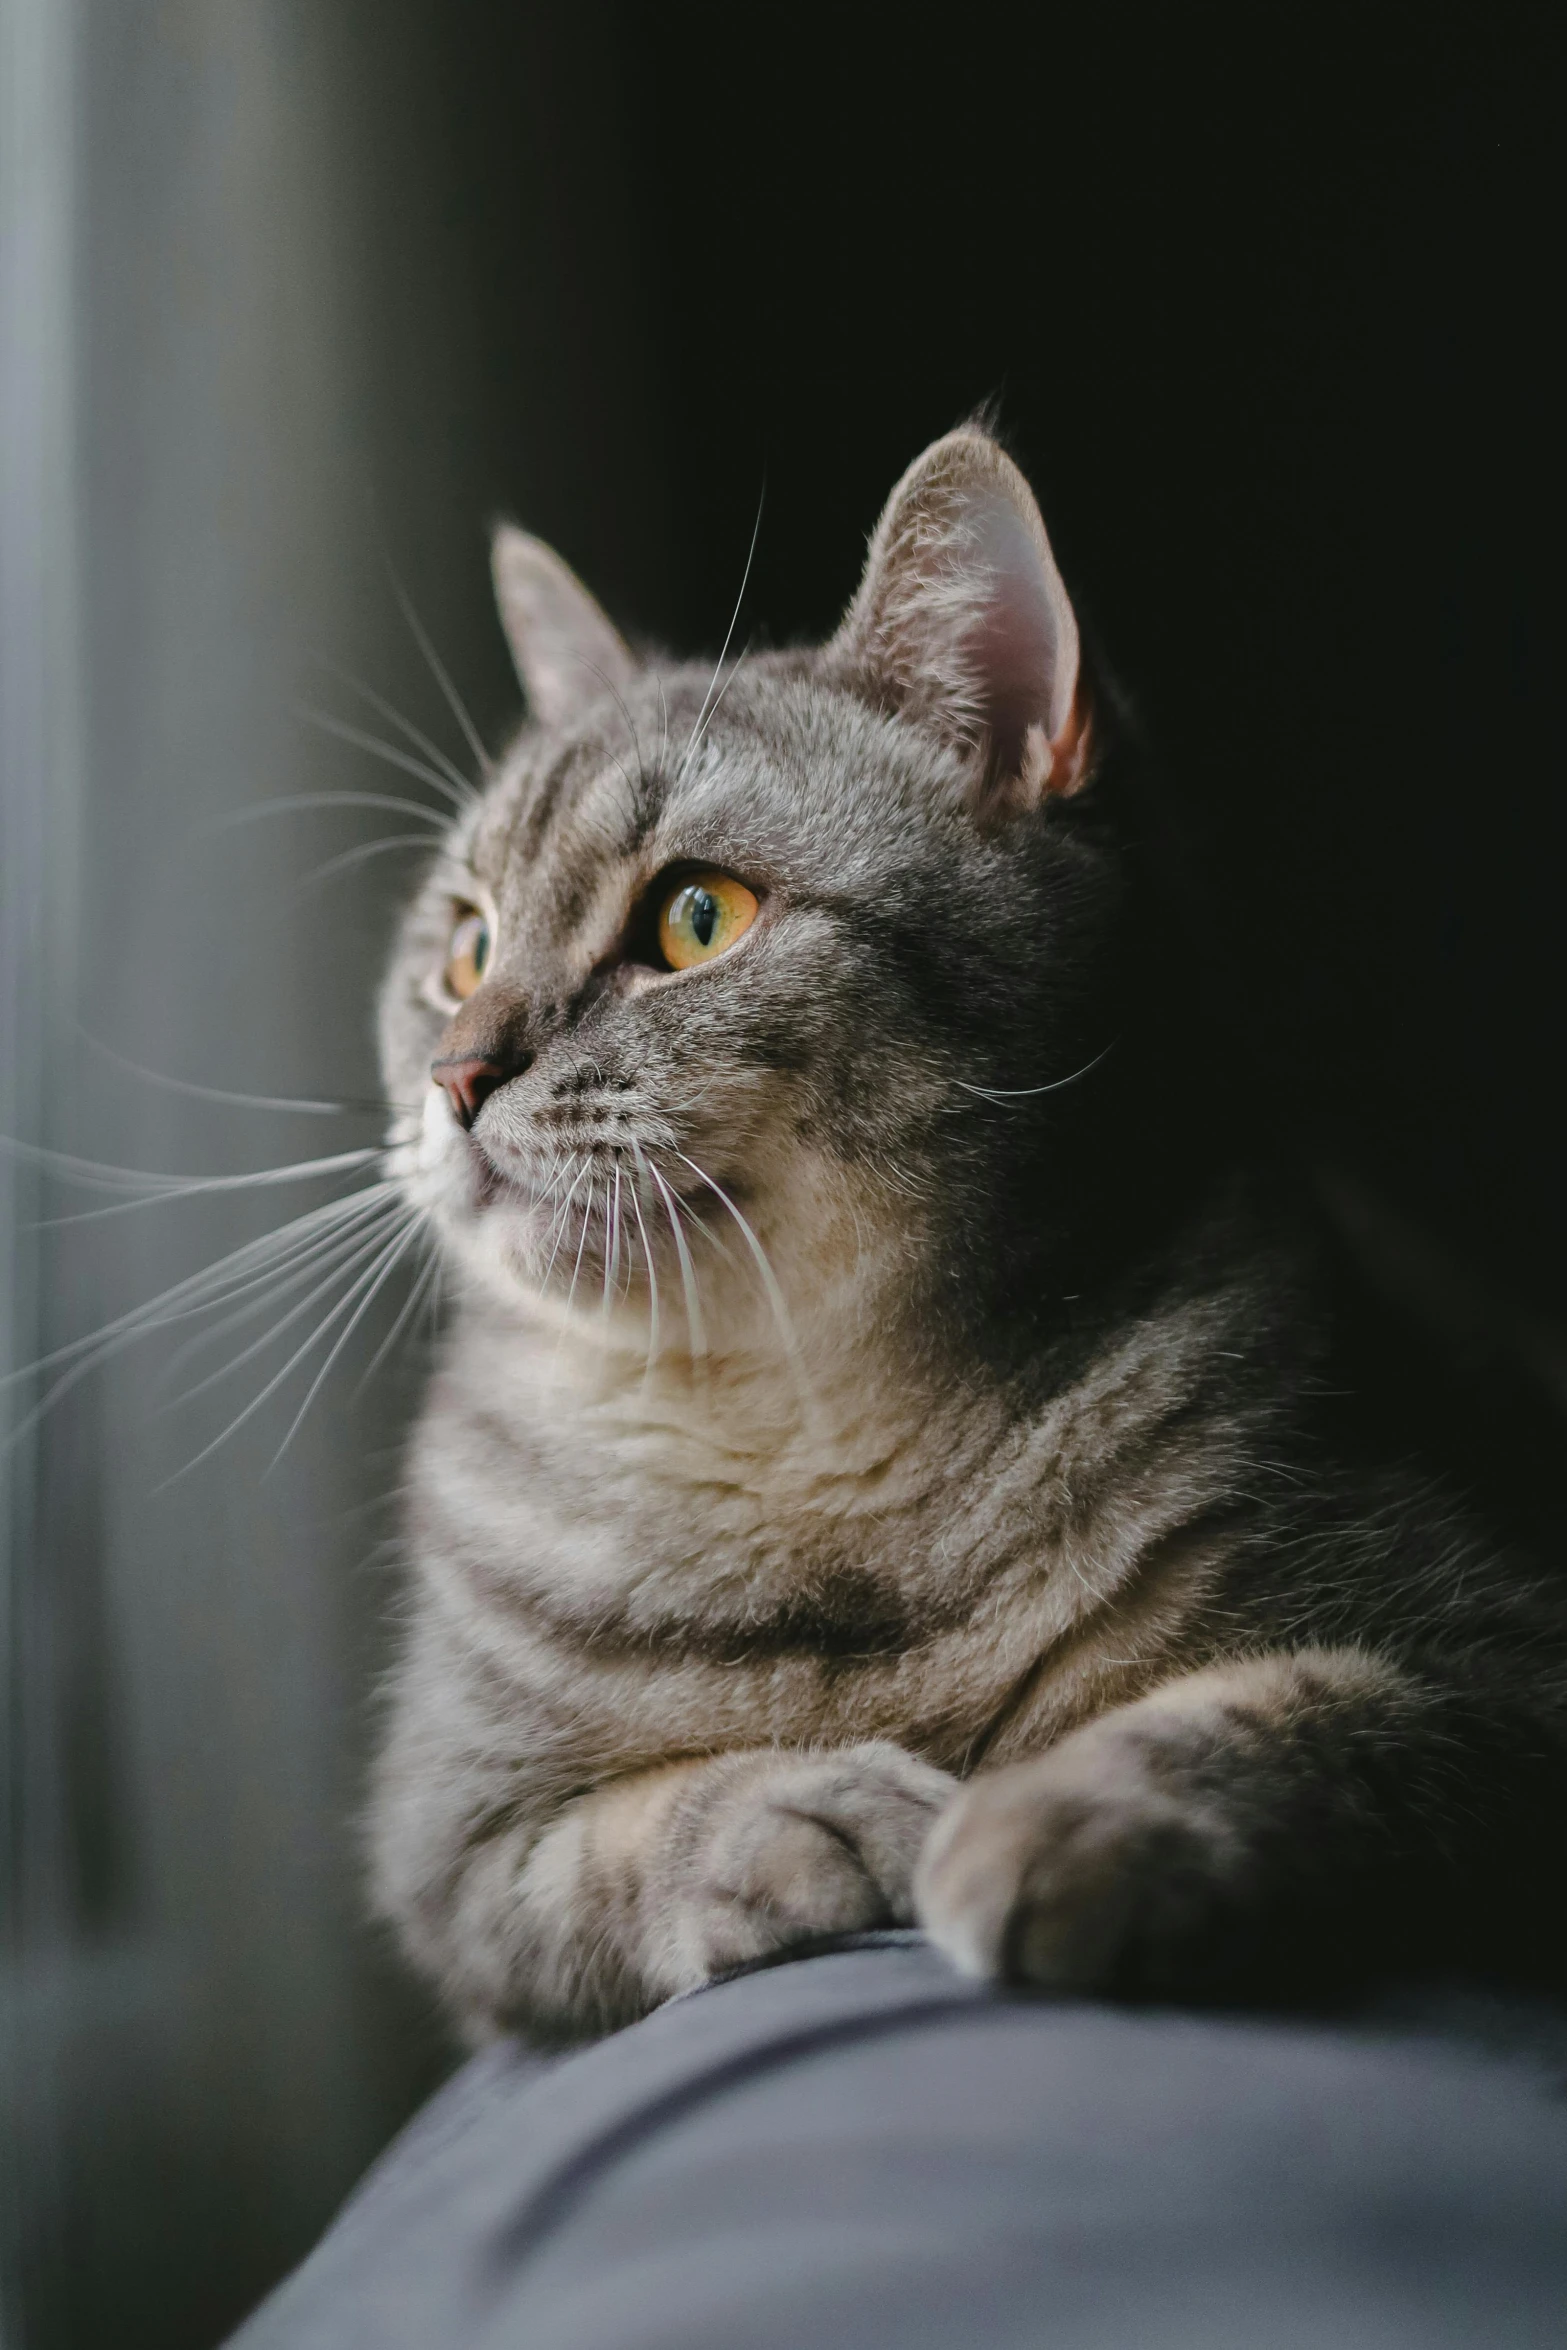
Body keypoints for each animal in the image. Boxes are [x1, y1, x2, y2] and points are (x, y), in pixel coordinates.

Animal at [373, 432, 1567, 2049]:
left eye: (696, 918)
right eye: (465, 949)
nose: (455, 1076)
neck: (796, 1428)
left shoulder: (1502, 1657)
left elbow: (1300, 1710)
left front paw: (1064, 1811)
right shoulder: (448, 1845)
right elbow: (620, 1837)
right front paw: (798, 1810)